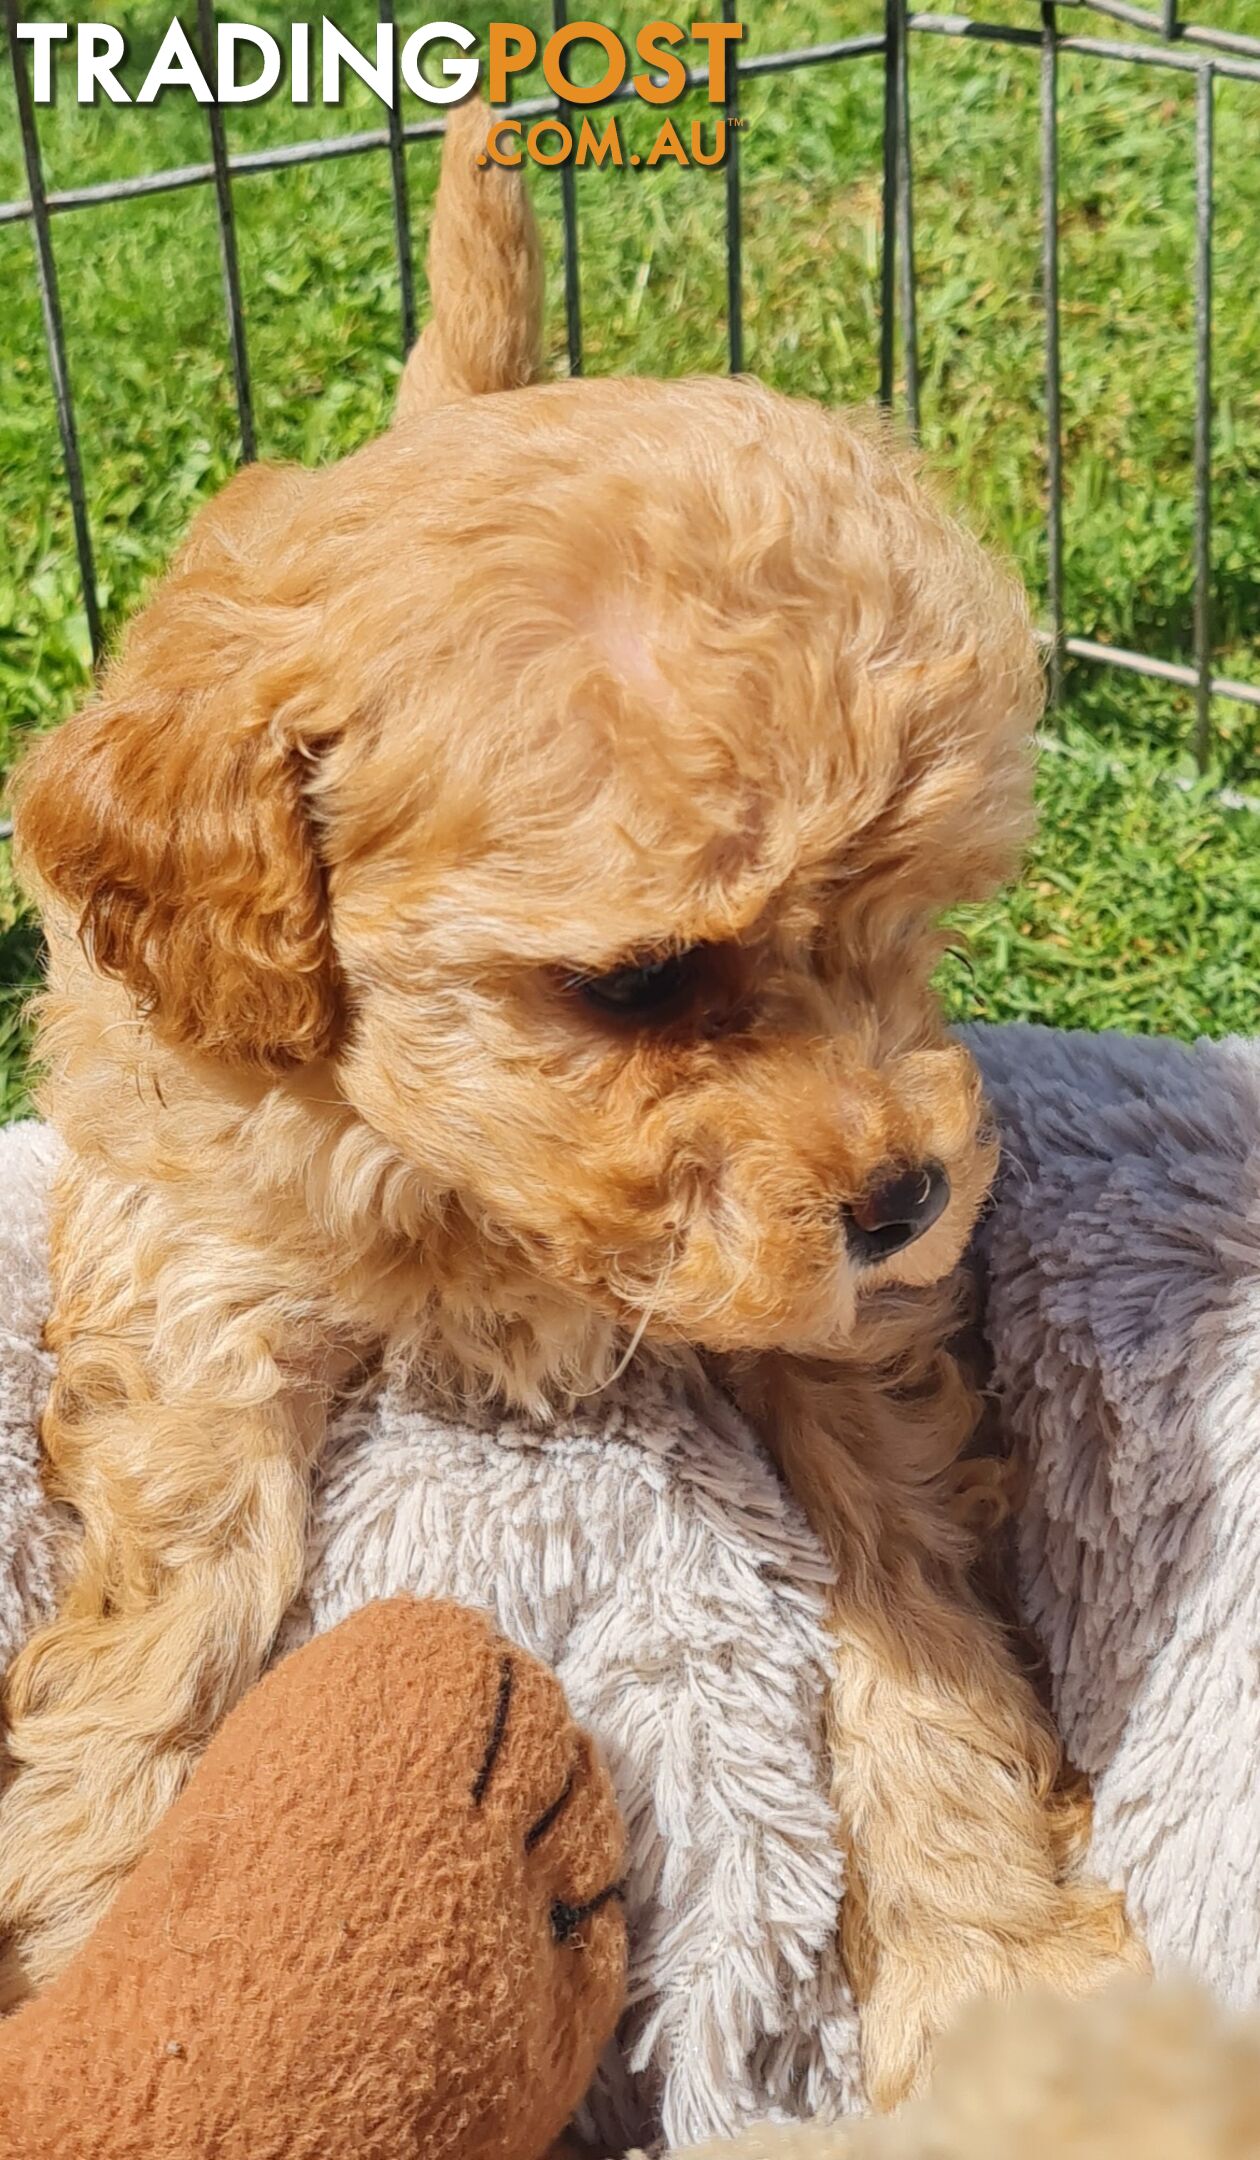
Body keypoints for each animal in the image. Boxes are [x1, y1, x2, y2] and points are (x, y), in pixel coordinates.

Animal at [0, 97, 1141, 2090]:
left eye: (911, 932)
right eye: (637, 986)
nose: (913, 1201)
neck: (478, 1206)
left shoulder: (851, 1338)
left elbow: (916, 1603)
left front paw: (987, 1957)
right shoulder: (200, 1252)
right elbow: (171, 1608)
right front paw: (83, 1930)